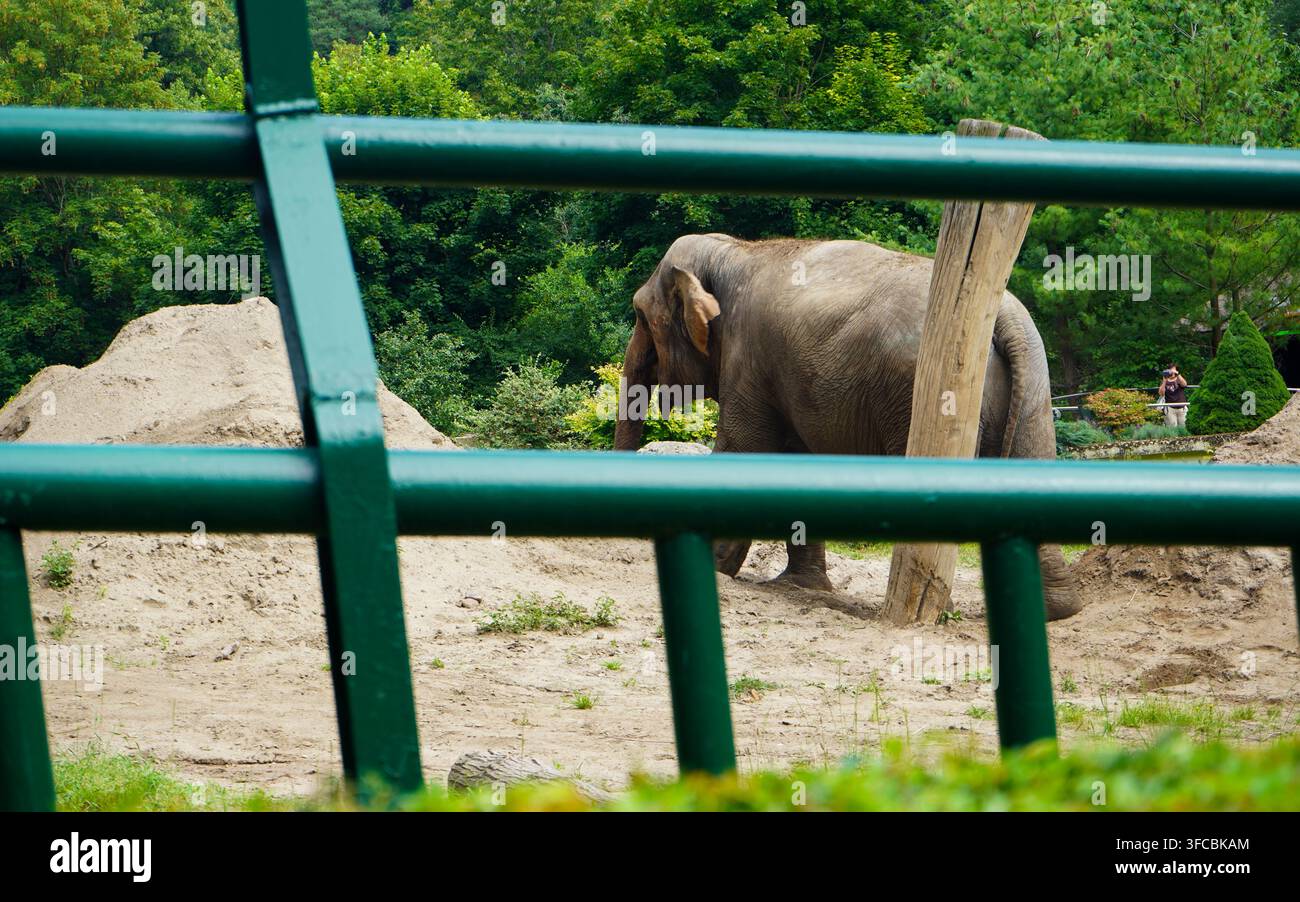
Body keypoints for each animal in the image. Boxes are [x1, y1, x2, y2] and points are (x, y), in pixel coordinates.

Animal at [613, 233, 1082, 622]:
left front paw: (715, 568)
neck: (736, 249)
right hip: (1034, 388)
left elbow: (745, 448)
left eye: (639, 314)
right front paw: (800, 587)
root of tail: (1004, 316)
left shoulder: (748, 359)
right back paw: (1055, 611)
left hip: (920, 396)